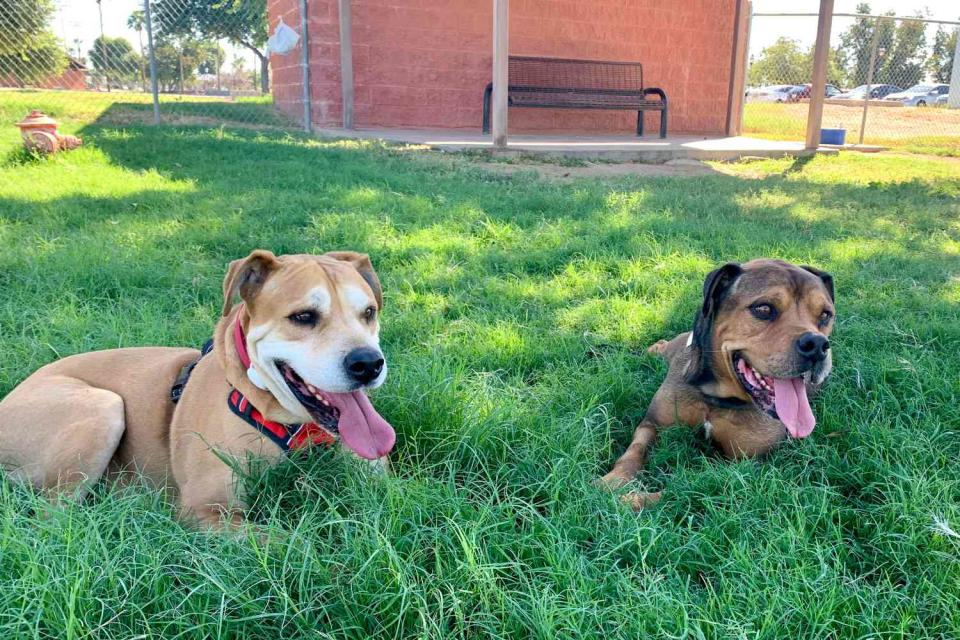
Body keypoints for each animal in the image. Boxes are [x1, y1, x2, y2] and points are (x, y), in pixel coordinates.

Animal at [0, 250, 394, 528]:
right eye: (303, 317)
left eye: (369, 312)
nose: (368, 363)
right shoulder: (208, 510)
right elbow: (294, 544)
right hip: (101, 409)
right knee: (54, 518)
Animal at [600, 260, 832, 510]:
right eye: (763, 309)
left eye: (825, 315)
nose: (817, 344)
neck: (714, 395)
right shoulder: (652, 424)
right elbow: (634, 451)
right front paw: (613, 481)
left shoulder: (741, 464)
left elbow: (684, 486)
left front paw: (632, 500)